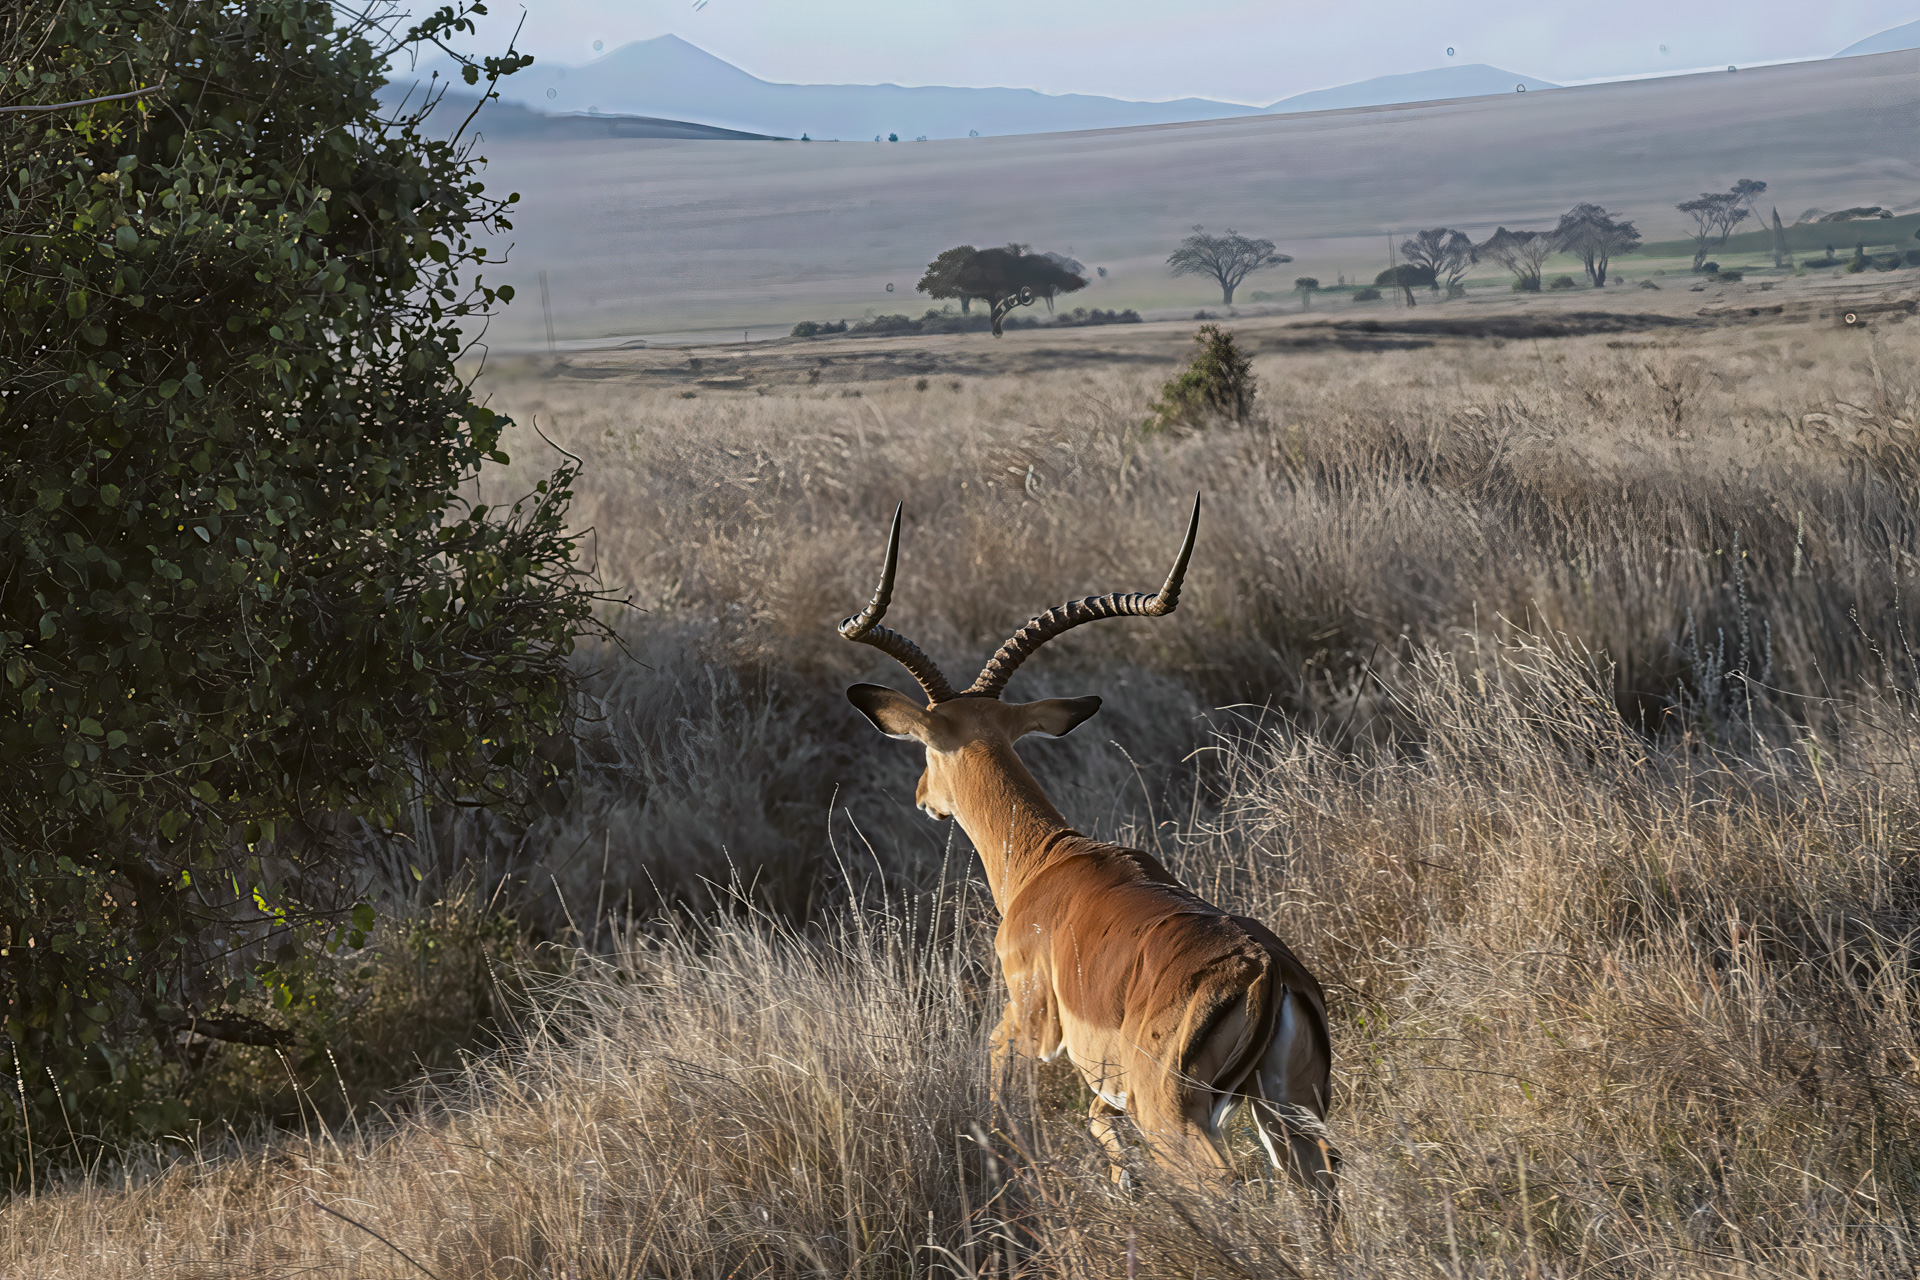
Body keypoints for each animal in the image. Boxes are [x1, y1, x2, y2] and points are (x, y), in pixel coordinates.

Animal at [839, 497, 1337, 1196]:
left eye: (928, 748)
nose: (921, 796)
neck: (1045, 860)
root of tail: (1267, 970)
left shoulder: (1030, 1022)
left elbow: (997, 1072)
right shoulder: (1106, 1083)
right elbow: (1099, 1121)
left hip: (1177, 1120)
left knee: (1227, 1184)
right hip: (1290, 1114)